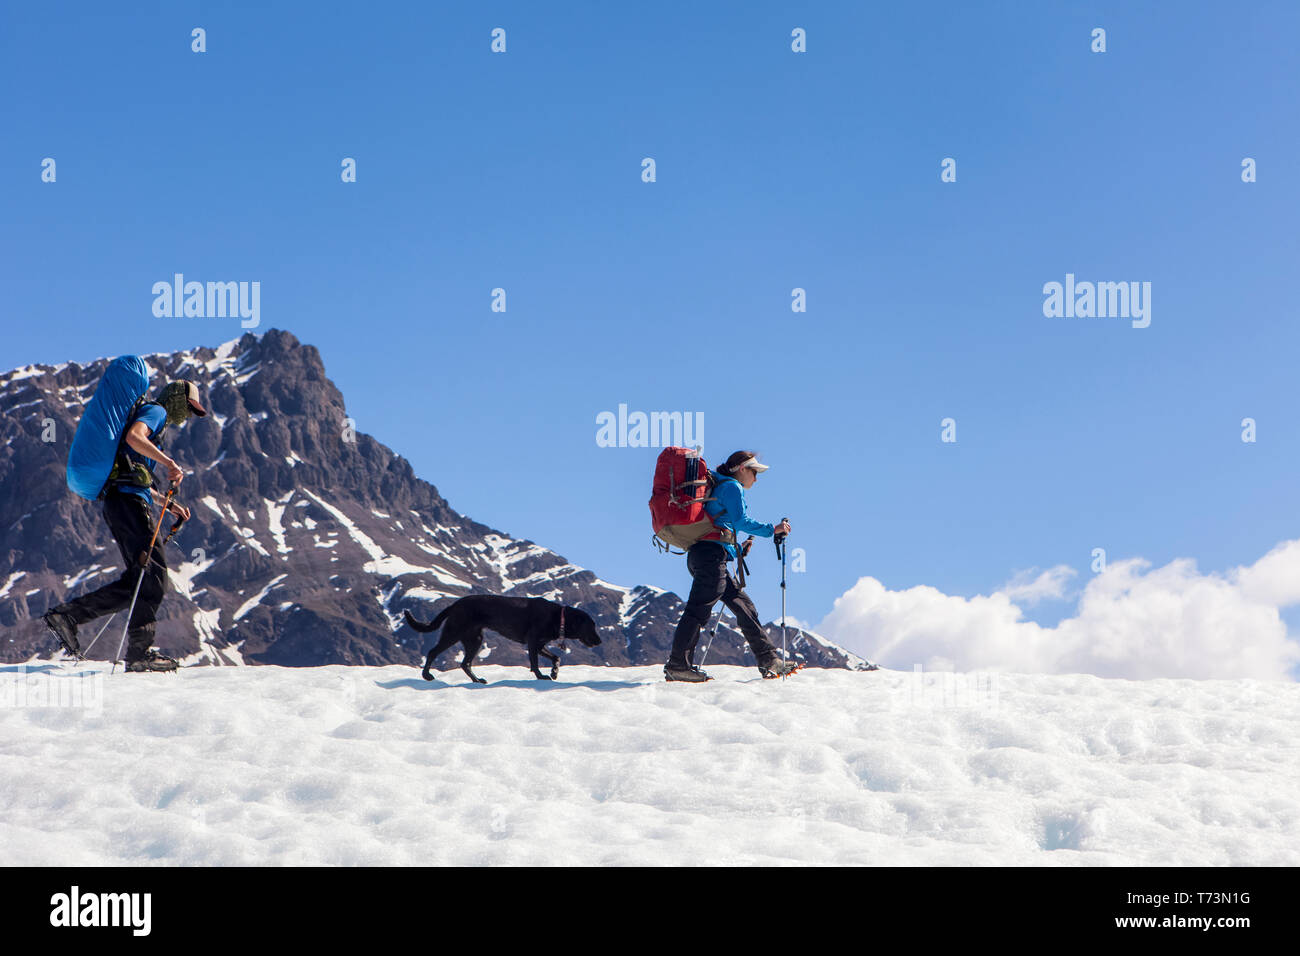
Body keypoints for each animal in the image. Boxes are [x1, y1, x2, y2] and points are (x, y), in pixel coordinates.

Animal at [403, 595, 600, 686]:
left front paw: (554, 672)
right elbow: (535, 663)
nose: (599, 641)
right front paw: (541, 676)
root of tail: (455, 604)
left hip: (475, 639)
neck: (559, 617)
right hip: (453, 633)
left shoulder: (539, 644)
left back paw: (477, 680)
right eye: (591, 626)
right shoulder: (533, 642)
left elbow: (556, 657)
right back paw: (427, 676)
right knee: (433, 652)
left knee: (465, 664)